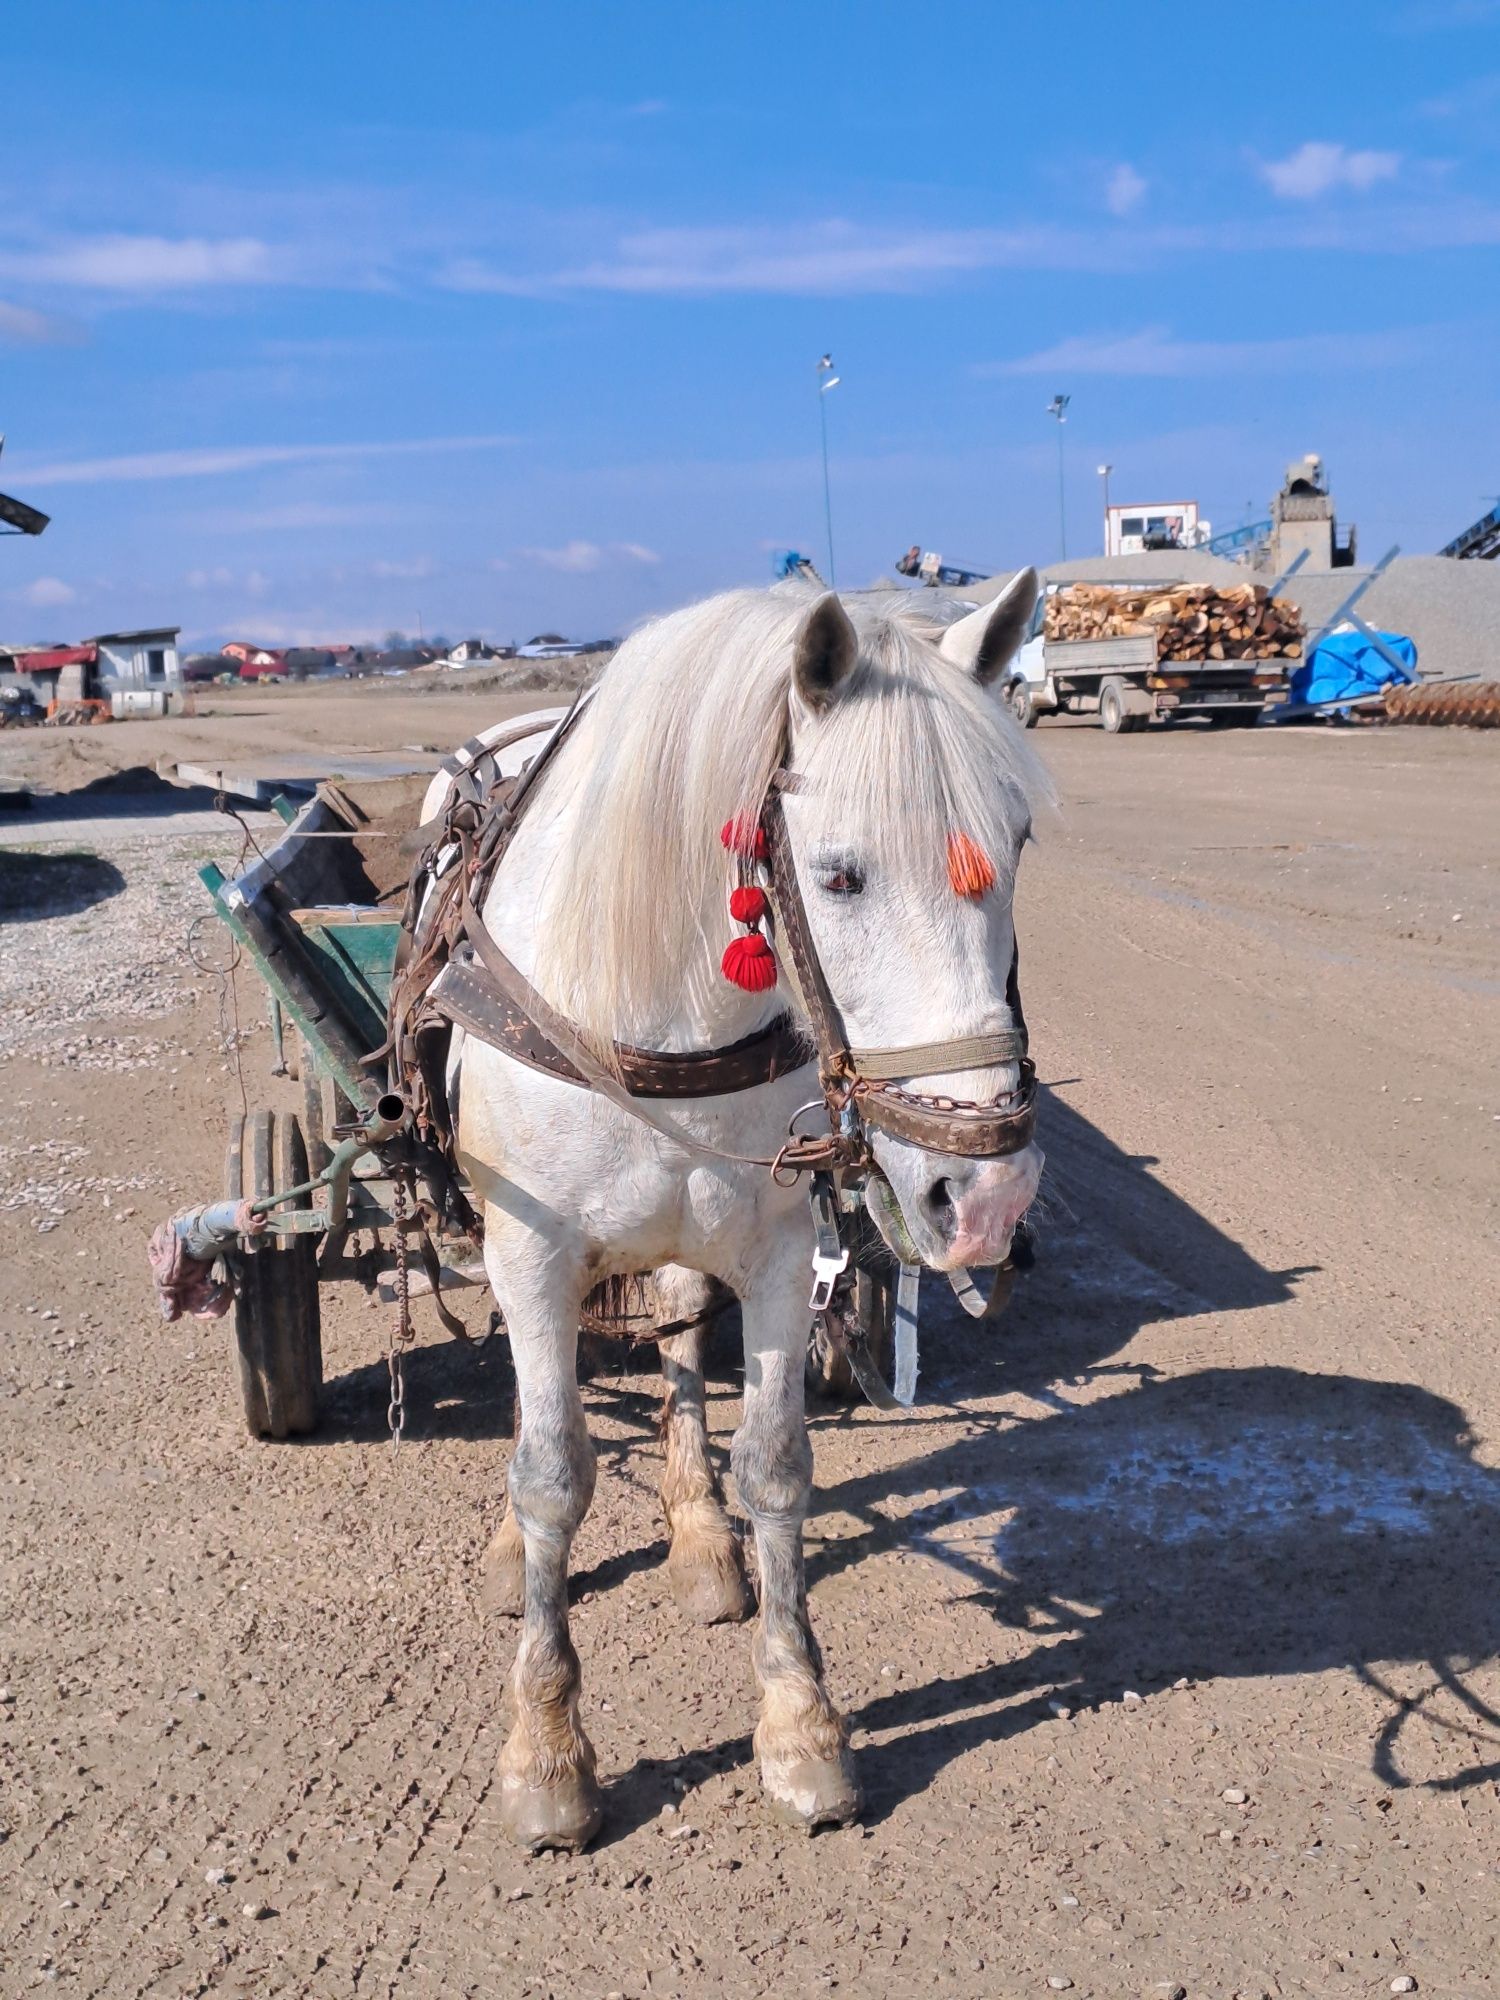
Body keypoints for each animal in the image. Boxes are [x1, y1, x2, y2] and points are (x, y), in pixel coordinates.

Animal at [428, 572, 1048, 1848]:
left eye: (1014, 842)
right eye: (842, 873)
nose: (985, 1194)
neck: (650, 1002)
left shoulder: (776, 1249)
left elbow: (775, 1466)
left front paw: (801, 1720)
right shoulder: (533, 1252)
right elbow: (551, 1471)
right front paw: (547, 1748)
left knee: (674, 1337)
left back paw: (701, 1533)